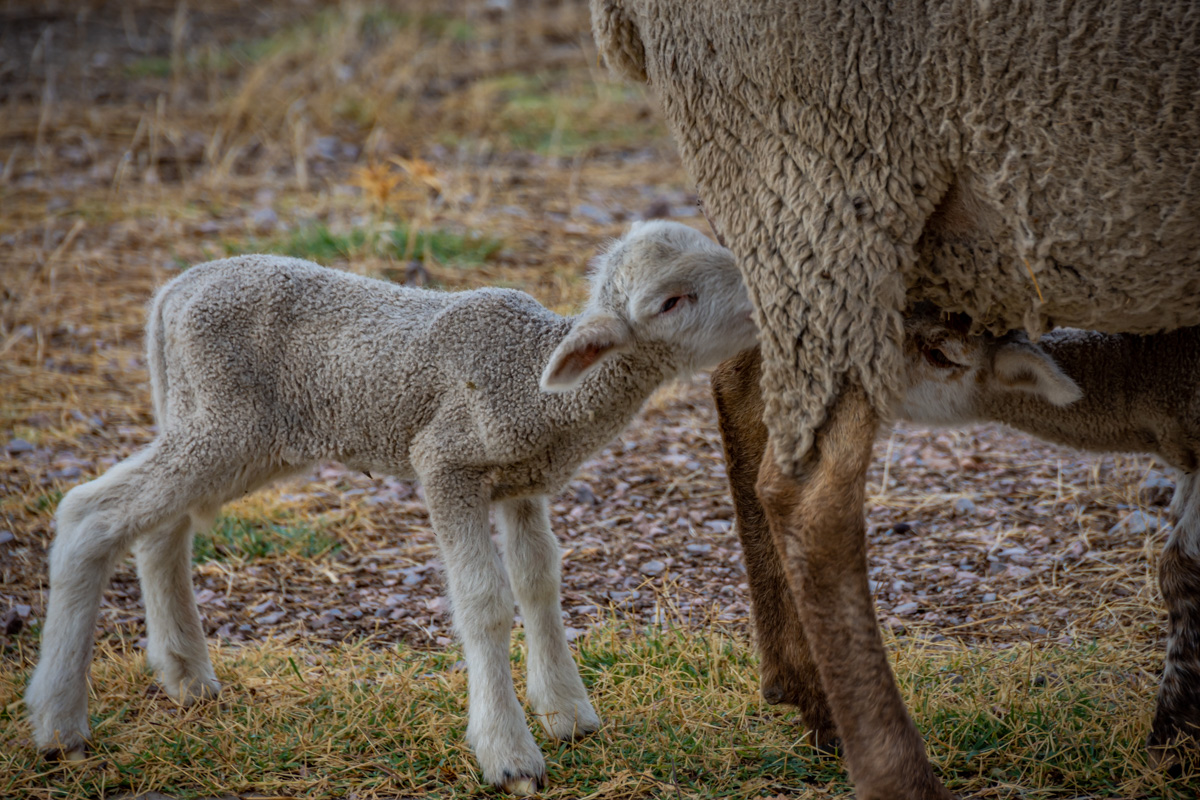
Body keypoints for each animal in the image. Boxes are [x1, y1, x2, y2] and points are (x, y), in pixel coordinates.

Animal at [25, 219, 758, 796]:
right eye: (672, 301)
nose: (761, 316)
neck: (537, 384)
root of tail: (173, 291)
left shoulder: (522, 481)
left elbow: (539, 582)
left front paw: (568, 714)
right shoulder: (446, 463)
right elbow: (485, 600)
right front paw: (510, 755)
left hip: (217, 428)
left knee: (158, 528)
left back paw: (185, 675)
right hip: (223, 423)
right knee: (90, 515)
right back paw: (59, 724)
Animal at [590, 1, 1200, 800]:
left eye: (944, 348)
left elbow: (1182, 566)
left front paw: (1176, 739)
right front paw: (1178, 740)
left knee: (747, 380)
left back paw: (808, 698)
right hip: (823, 178)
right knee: (811, 496)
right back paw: (895, 771)